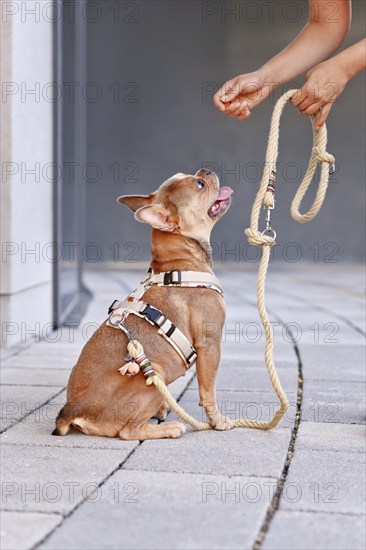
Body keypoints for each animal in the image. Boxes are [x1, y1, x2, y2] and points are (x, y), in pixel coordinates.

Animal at [52, 170, 233, 442]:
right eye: (200, 185)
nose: (206, 171)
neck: (178, 263)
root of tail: (74, 410)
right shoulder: (210, 345)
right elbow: (208, 391)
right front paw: (217, 421)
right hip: (153, 371)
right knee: (129, 431)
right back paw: (169, 428)